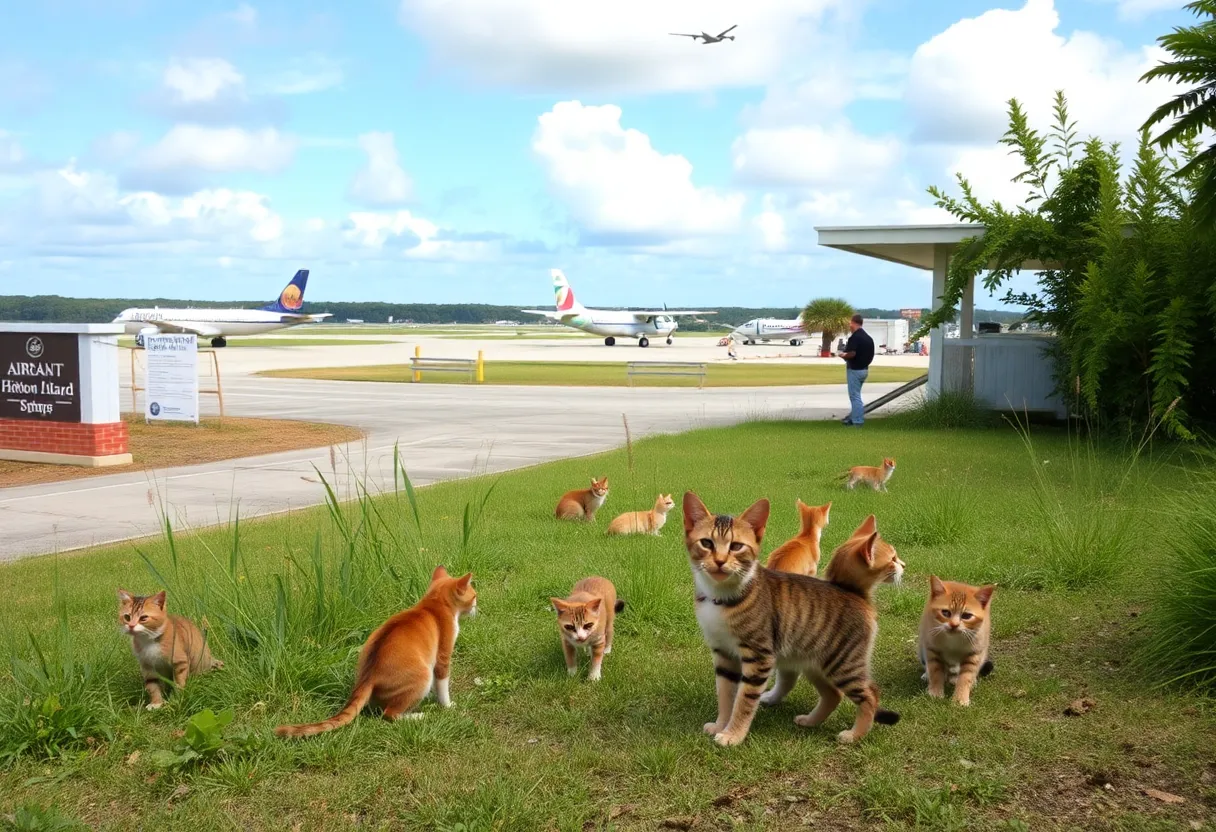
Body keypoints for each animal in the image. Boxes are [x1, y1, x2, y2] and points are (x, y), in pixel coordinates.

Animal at [276, 564, 479, 734]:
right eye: (475, 596)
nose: (477, 608)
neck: (433, 602)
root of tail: (368, 678)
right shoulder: (443, 656)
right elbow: (443, 685)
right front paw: (448, 706)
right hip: (423, 675)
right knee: (390, 714)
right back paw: (417, 716)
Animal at [685, 491, 904, 749]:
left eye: (737, 546)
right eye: (706, 543)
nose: (719, 561)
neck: (722, 598)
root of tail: (856, 593)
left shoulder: (758, 656)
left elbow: (744, 701)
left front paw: (733, 735)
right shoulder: (723, 654)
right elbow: (725, 696)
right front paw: (721, 725)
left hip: (843, 663)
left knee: (871, 694)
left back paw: (855, 735)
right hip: (815, 662)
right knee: (834, 694)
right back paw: (811, 720)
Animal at [914, 578, 992, 710]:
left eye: (966, 616)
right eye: (945, 612)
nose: (954, 625)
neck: (953, 640)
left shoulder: (974, 652)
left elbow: (966, 676)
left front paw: (960, 699)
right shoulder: (932, 648)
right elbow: (936, 671)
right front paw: (935, 693)